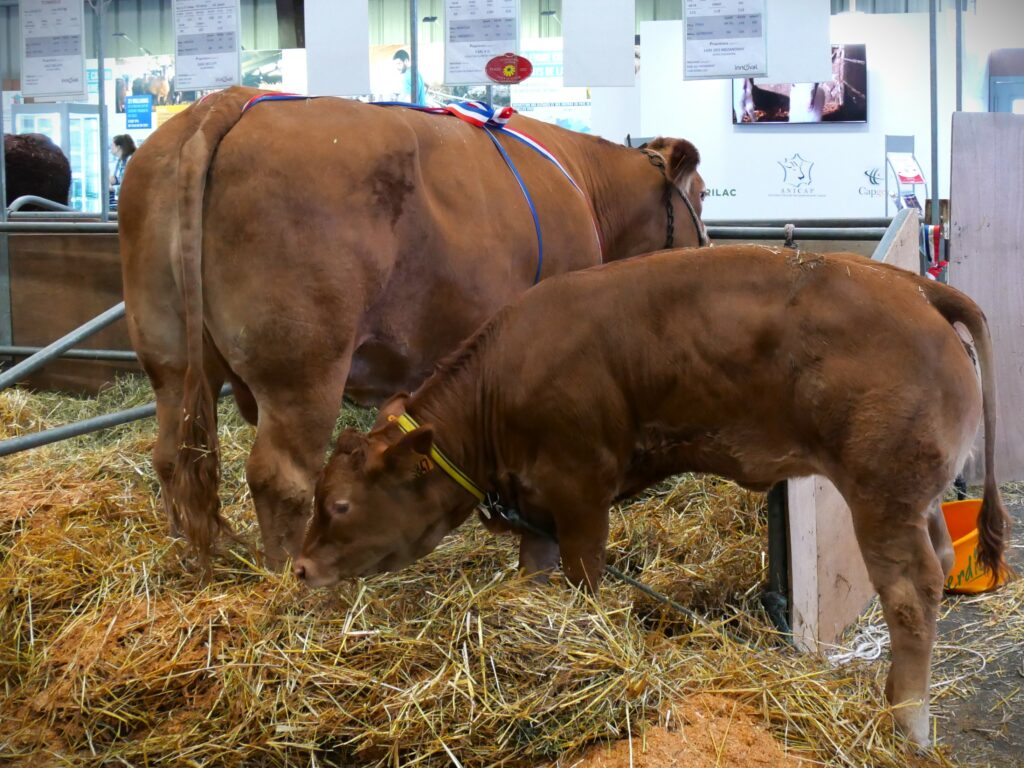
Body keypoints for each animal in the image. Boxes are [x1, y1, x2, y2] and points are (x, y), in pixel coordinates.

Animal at [119, 88, 708, 573]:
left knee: (172, 456)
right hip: (303, 368)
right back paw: (289, 580)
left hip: (167, 354)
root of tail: (224, 102)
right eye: (702, 196)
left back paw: (191, 559)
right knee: (279, 476)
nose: (706, 246)